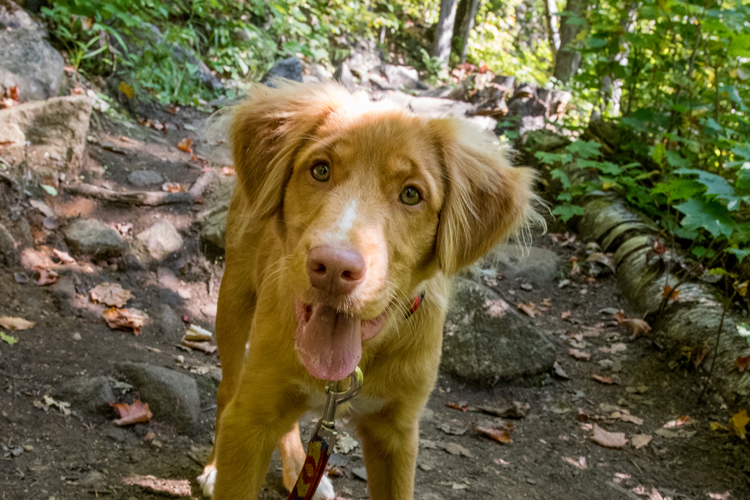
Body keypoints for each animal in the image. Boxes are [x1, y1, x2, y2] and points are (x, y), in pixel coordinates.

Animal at [198, 82, 540, 500]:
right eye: (321, 170)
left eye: (411, 194)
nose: (333, 268)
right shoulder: (249, 421)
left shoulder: (396, 434)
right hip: (234, 300)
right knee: (227, 389)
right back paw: (217, 467)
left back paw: (298, 467)